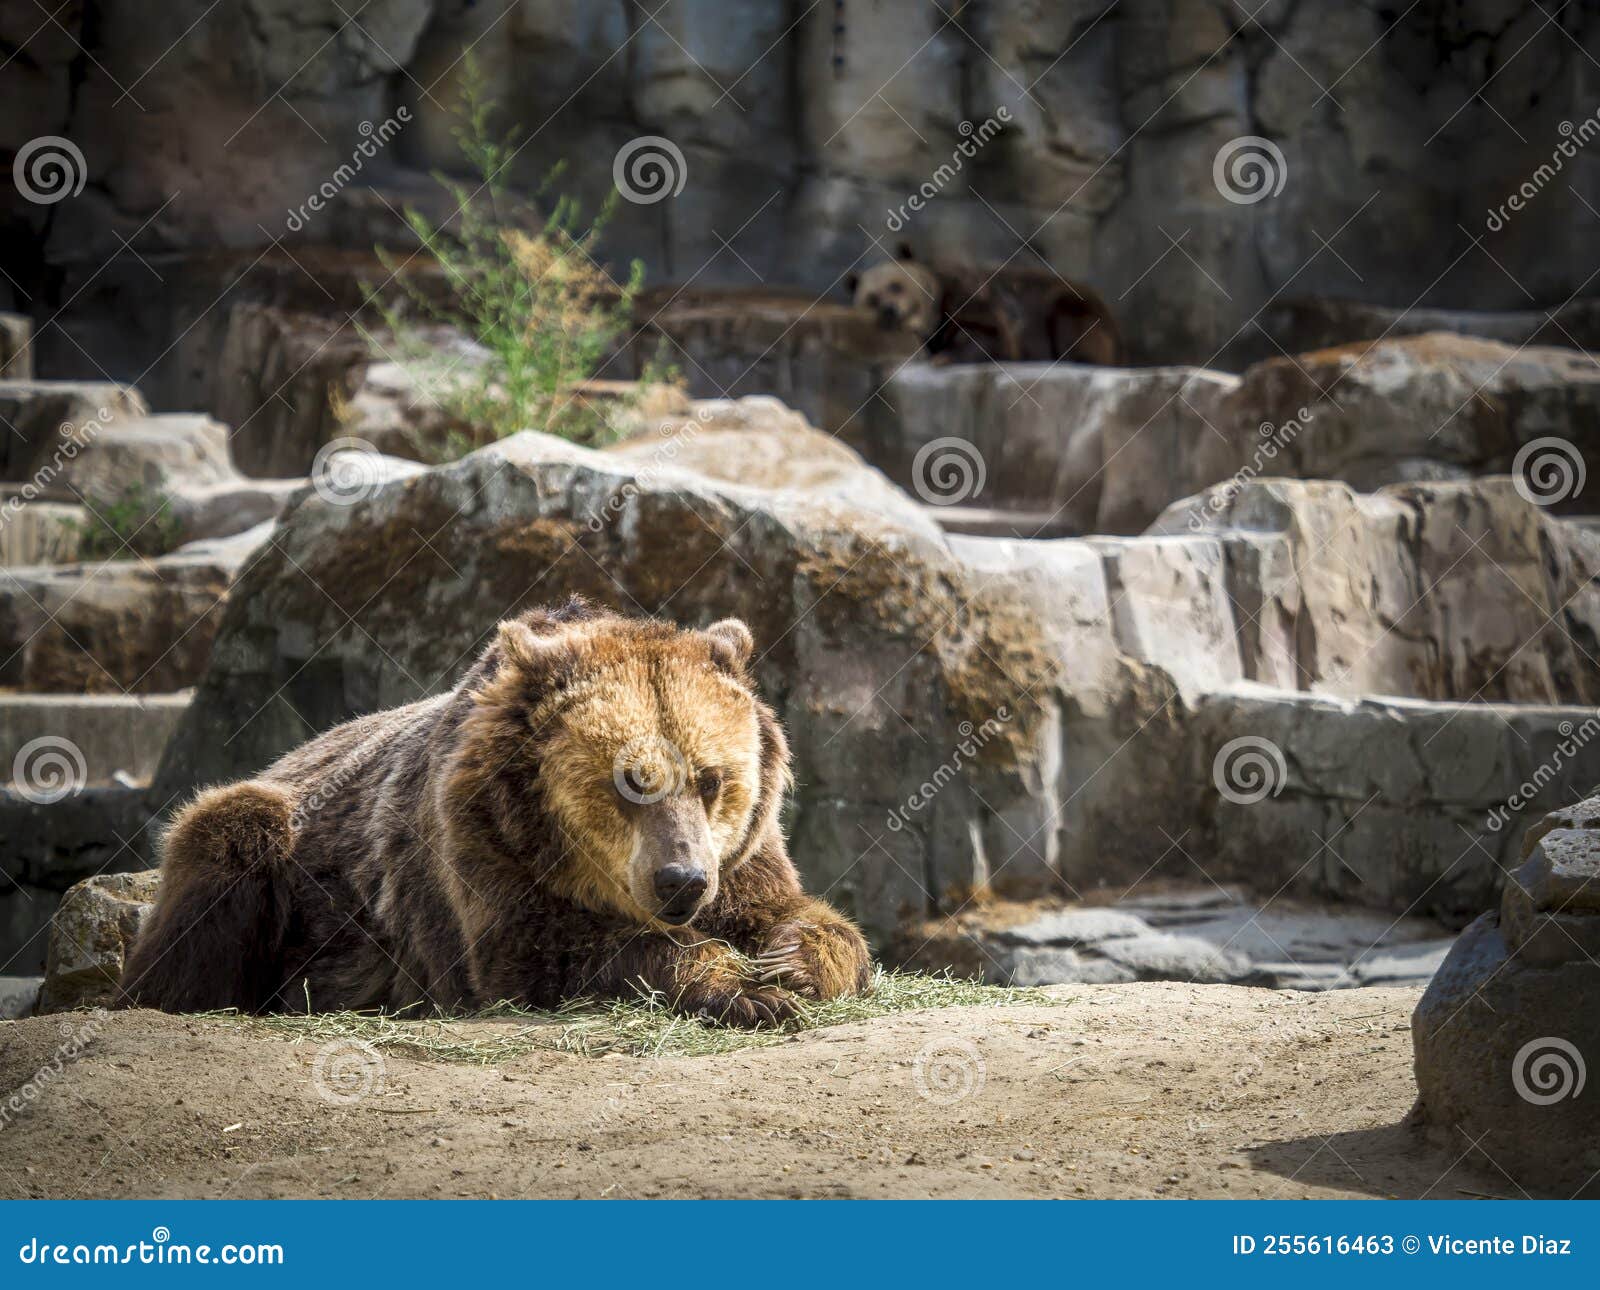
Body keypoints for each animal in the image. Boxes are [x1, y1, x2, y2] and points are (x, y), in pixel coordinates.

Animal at [121, 601, 876, 1037]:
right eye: (632, 782)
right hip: (273, 840)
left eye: (712, 778)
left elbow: (810, 917)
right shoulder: (481, 841)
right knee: (226, 845)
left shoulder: (745, 854)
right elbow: (545, 951)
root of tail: (293, 751)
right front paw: (744, 990)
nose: (681, 881)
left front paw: (788, 967)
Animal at [851, 243, 1126, 366]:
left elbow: (992, 334)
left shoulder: (971, 294)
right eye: (871, 298)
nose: (890, 309)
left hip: (1070, 304)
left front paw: (946, 356)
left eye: (896, 285)